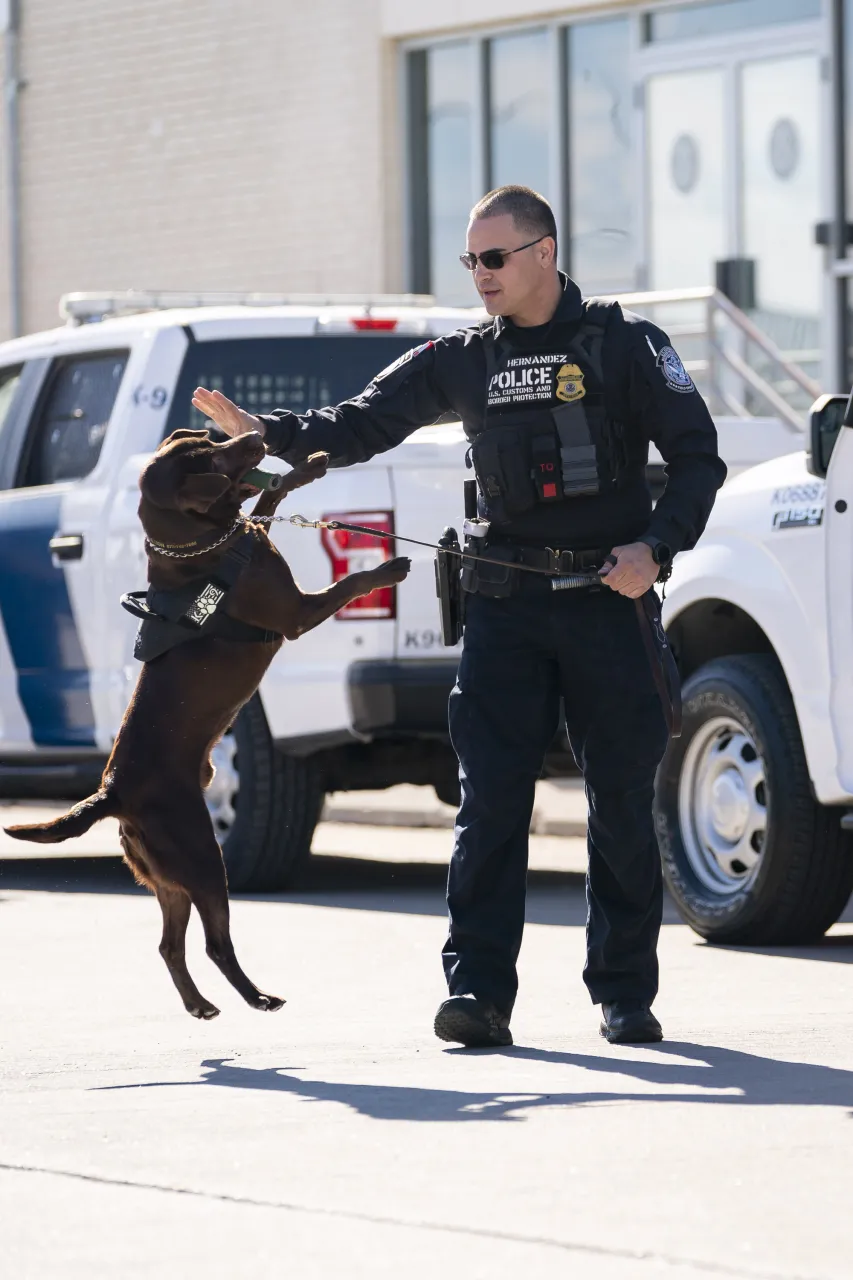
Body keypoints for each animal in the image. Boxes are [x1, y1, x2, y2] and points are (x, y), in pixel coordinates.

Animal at [3, 430, 409, 1018]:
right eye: (213, 456)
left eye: (209, 437)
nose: (258, 433)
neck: (200, 548)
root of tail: (111, 792)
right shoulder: (295, 615)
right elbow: (346, 581)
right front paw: (384, 571)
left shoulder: (252, 531)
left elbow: (268, 498)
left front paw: (304, 468)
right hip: (201, 857)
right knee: (216, 943)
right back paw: (258, 998)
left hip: (167, 876)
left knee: (169, 944)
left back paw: (200, 1004)